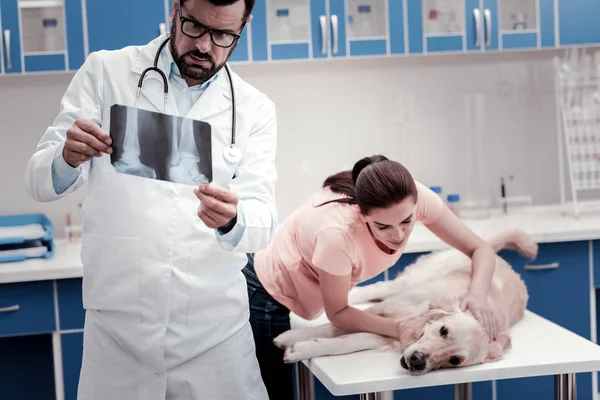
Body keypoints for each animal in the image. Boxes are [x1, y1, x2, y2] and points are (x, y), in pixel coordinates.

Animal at [272, 228, 536, 376]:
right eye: (443, 330)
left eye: (454, 360)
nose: (417, 361)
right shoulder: (384, 311)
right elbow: (332, 326)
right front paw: (289, 337)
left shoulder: (386, 334)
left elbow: (345, 342)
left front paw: (303, 348)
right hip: (408, 282)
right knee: (374, 289)